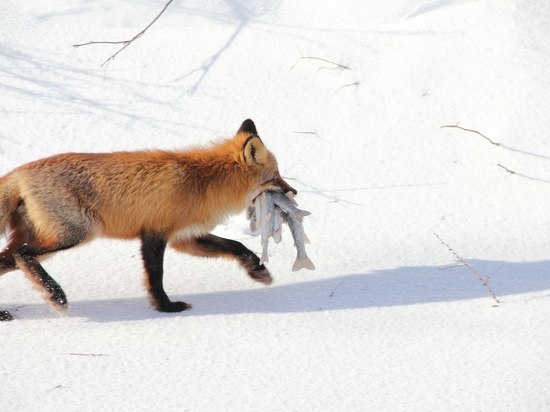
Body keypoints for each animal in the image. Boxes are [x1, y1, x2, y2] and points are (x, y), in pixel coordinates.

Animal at [0, 120, 298, 318]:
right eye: (274, 178)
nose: (293, 192)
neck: (205, 182)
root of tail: (18, 172)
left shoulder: (186, 237)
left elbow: (236, 246)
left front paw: (257, 270)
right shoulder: (155, 232)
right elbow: (156, 276)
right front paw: (166, 307)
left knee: (10, 256)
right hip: (74, 234)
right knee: (23, 254)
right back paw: (56, 295)